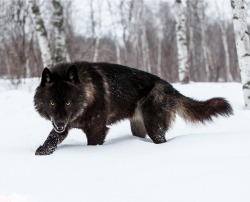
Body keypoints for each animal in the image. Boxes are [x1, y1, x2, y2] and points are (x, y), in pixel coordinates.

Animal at [34, 61, 233, 155]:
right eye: (52, 103)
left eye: (68, 103)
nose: (60, 124)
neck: (87, 93)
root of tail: (171, 88)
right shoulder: (63, 125)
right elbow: (52, 137)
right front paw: (43, 151)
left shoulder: (97, 130)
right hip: (138, 127)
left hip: (154, 128)